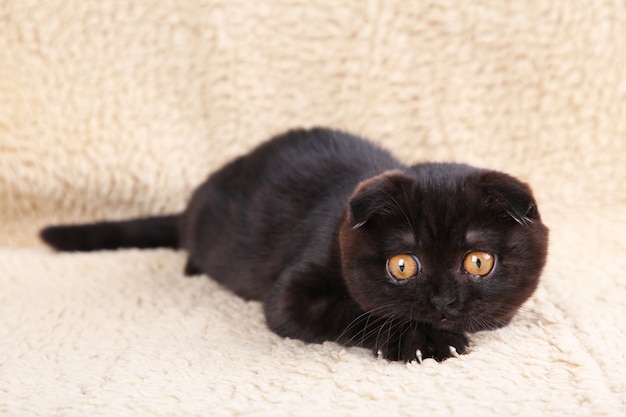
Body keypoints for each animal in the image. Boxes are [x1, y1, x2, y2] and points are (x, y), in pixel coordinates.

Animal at [40, 128, 544, 362]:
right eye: (403, 266)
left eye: (477, 262)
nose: (443, 302)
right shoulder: (292, 295)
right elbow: (358, 312)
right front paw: (421, 340)